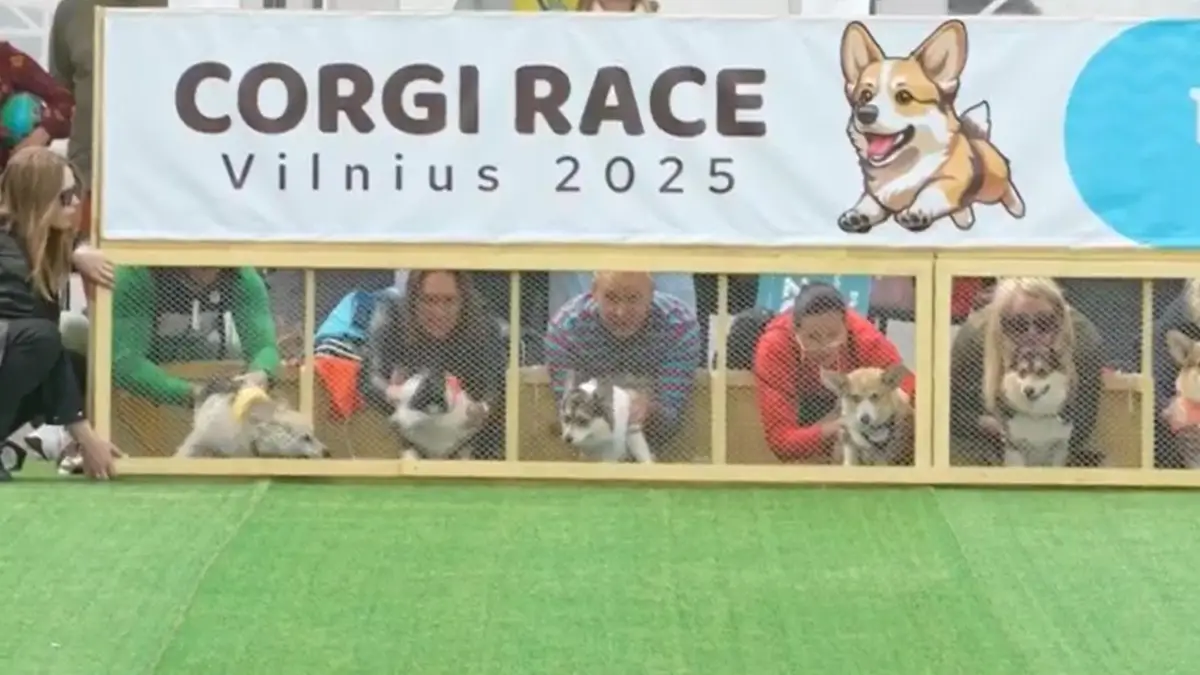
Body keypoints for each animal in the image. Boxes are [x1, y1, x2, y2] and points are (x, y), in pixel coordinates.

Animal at [837, 19, 1025, 234]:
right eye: (865, 96)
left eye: (904, 96)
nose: (865, 113)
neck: (902, 167)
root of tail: (980, 138)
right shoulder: (876, 194)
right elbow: (870, 201)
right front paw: (858, 214)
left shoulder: (952, 180)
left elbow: (931, 190)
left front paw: (916, 211)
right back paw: (965, 218)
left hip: (994, 184)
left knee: (1006, 188)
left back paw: (1017, 207)